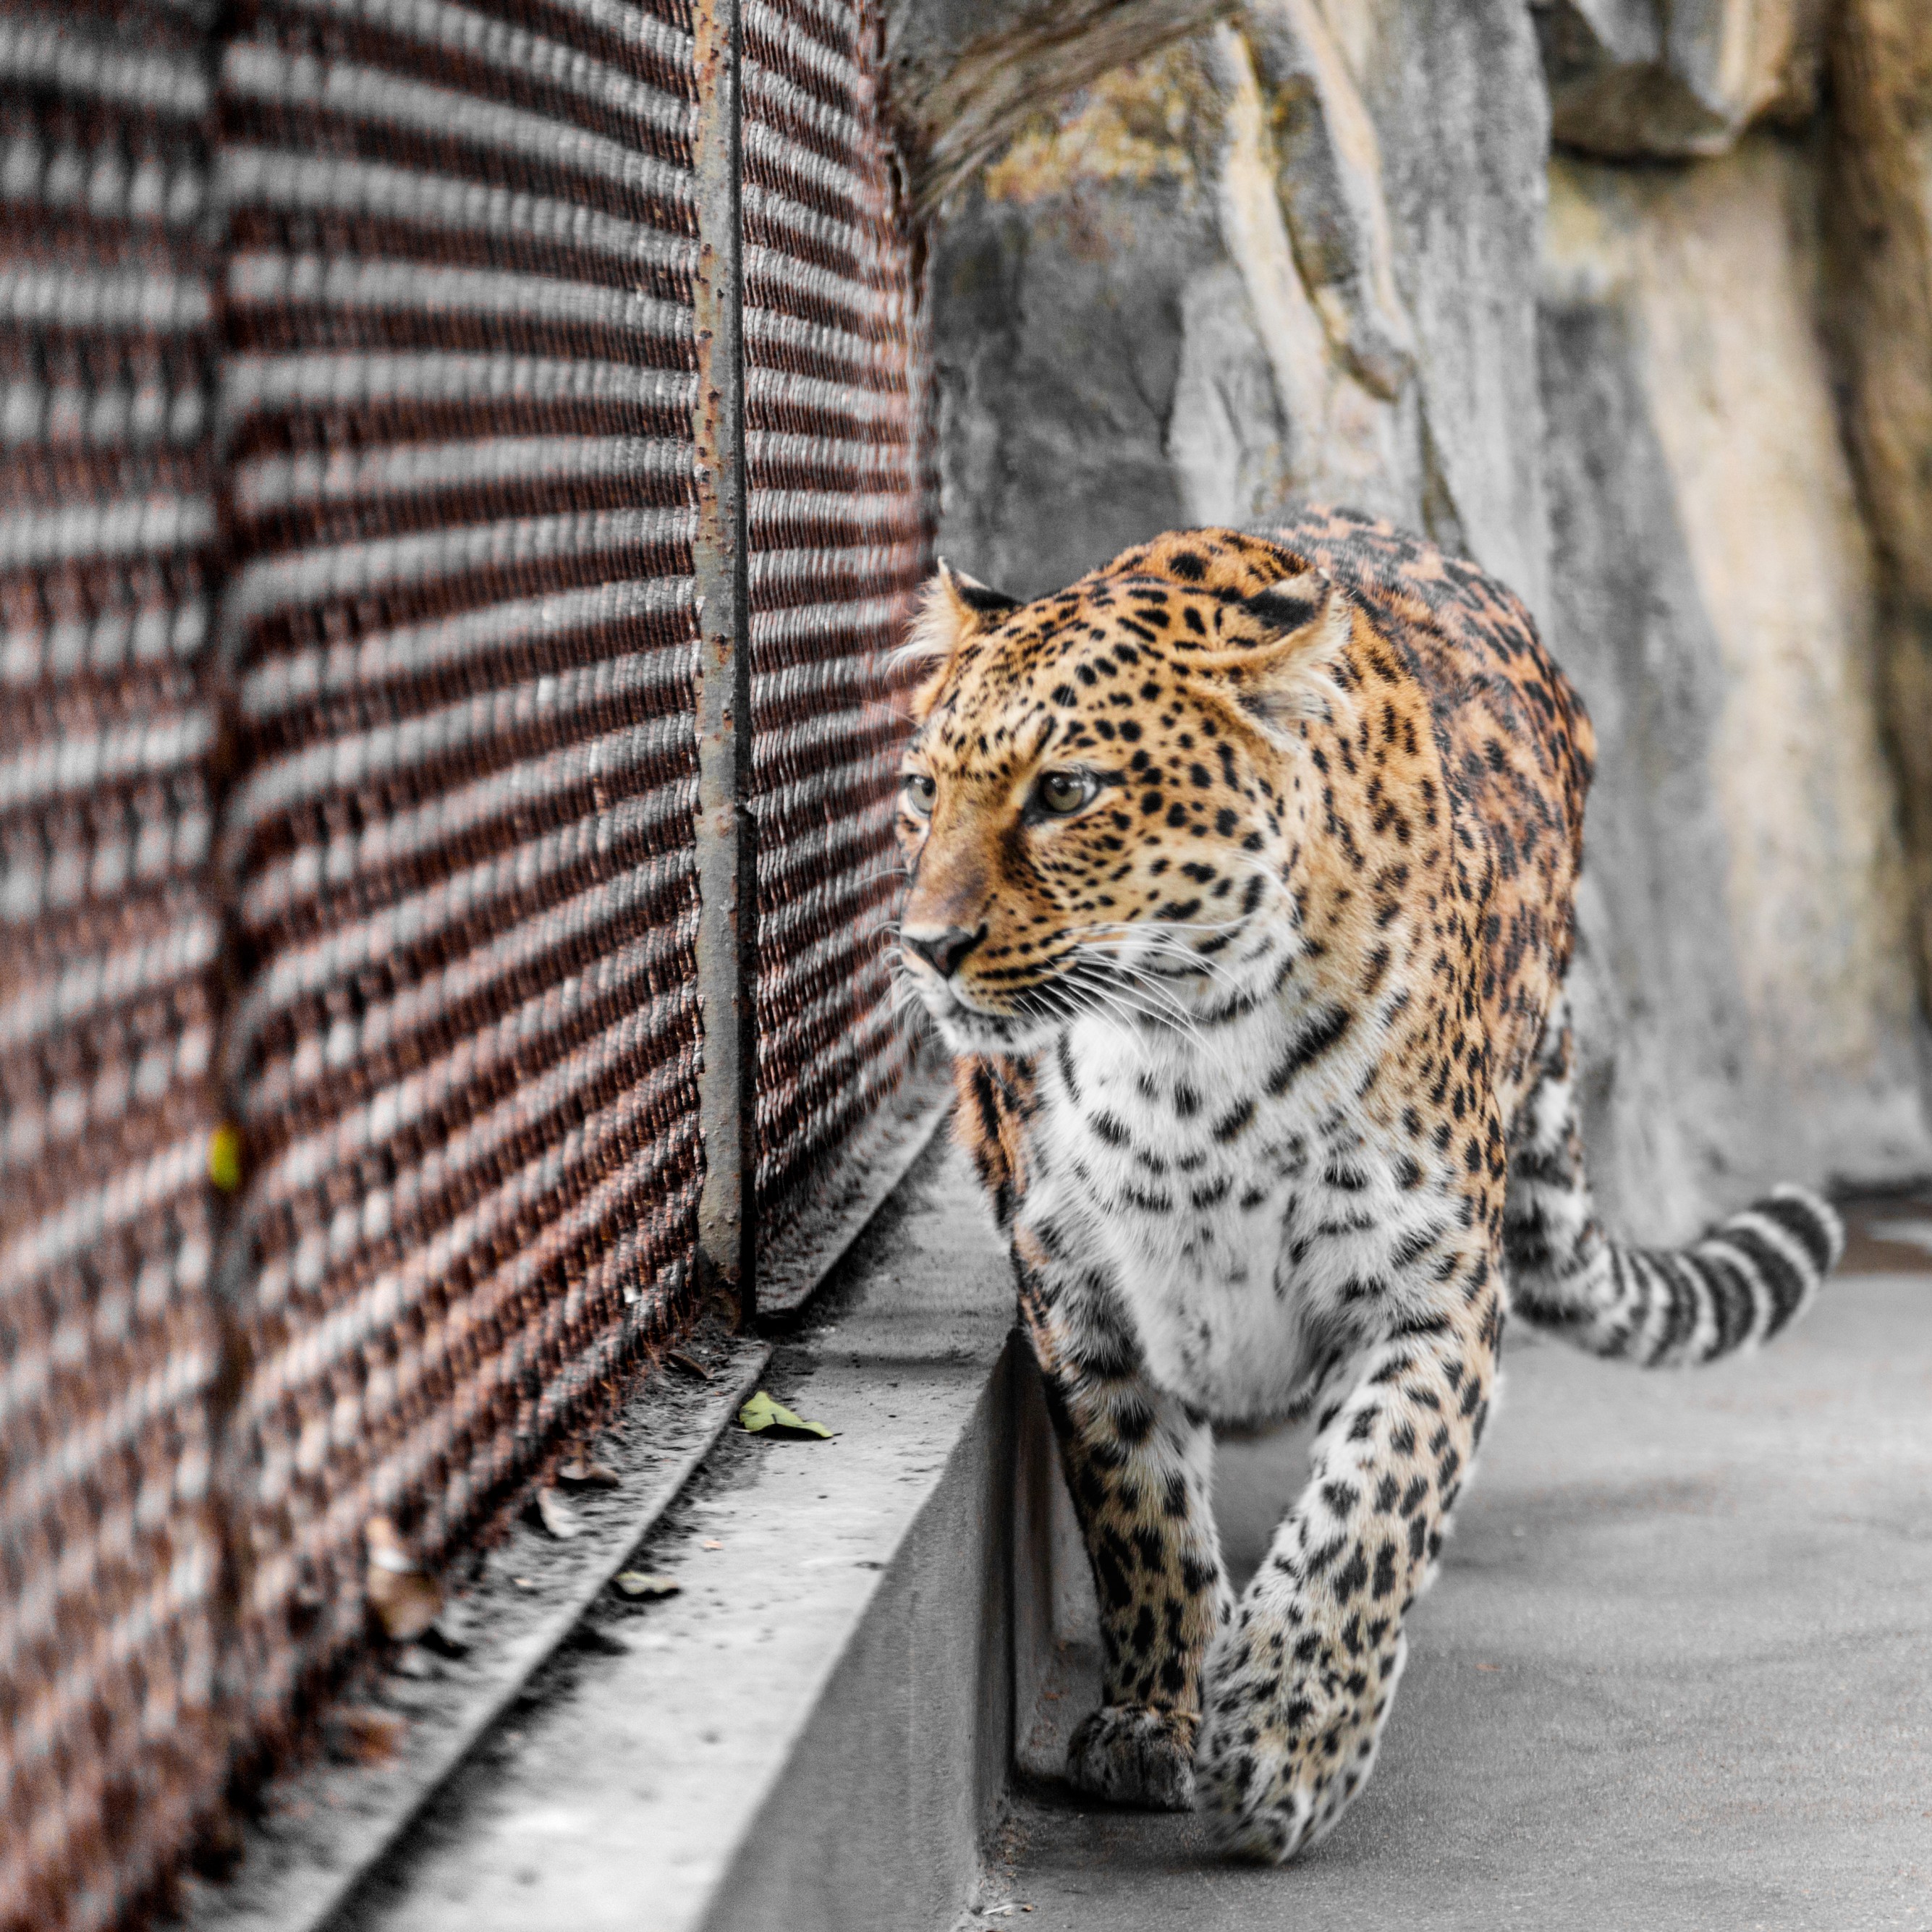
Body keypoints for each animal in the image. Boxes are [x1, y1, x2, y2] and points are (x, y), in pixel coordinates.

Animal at [889, 507, 1844, 1861]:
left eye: (1066, 791)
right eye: (923, 793)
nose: (929, 947)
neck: (1182, 1063)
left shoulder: (1428, 1296)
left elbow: (1372, 1509)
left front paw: (1287, 1744)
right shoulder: (1077, 1297)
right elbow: (1141, 1515)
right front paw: (1154, 1721)